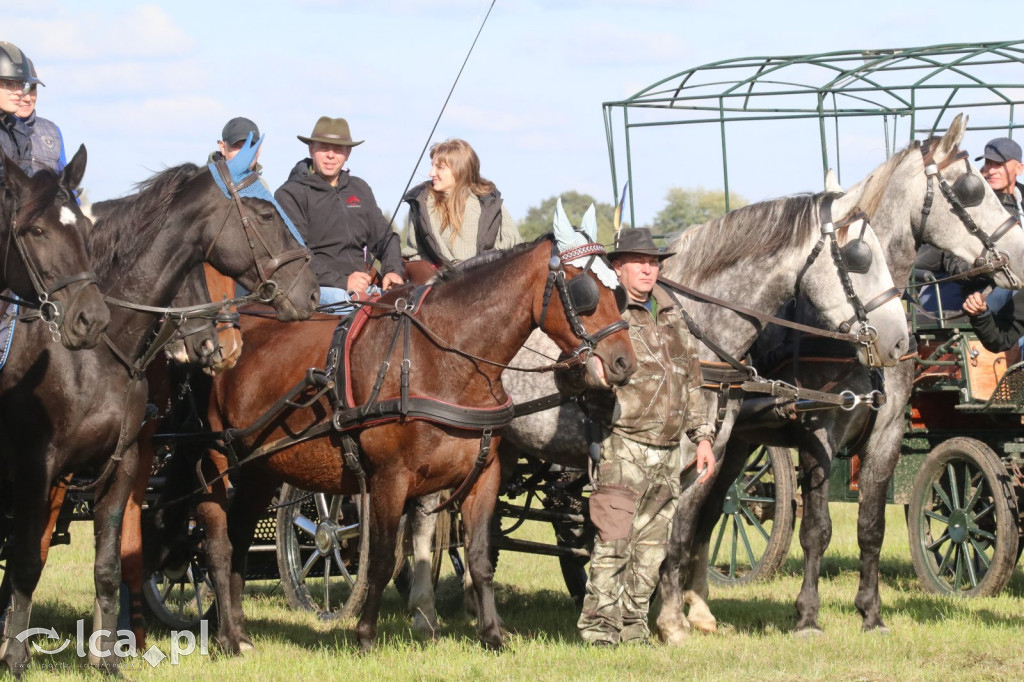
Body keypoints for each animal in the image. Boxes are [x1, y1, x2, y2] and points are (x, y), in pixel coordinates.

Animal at [154, 233, 634, 655]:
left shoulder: (484, 476)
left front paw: (493, 635)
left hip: (260, 468)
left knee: (238, 537)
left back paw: (236, 631)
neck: (441, 359)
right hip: (217, 460)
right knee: (216, 543)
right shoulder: (389, 479)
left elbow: (480, 558)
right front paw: (366, 635)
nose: (624, 362)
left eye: (620, 293)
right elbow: (383, 560)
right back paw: (225, 637)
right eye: (585, 292)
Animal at [692, 110, 1024, 630]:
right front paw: (808, 616)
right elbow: (817, 528)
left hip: (737, 439)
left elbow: (871, 524)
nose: (1023, 252)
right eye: (973, 189)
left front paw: (871, 612)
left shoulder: (887, 432)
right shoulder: (817, 429)